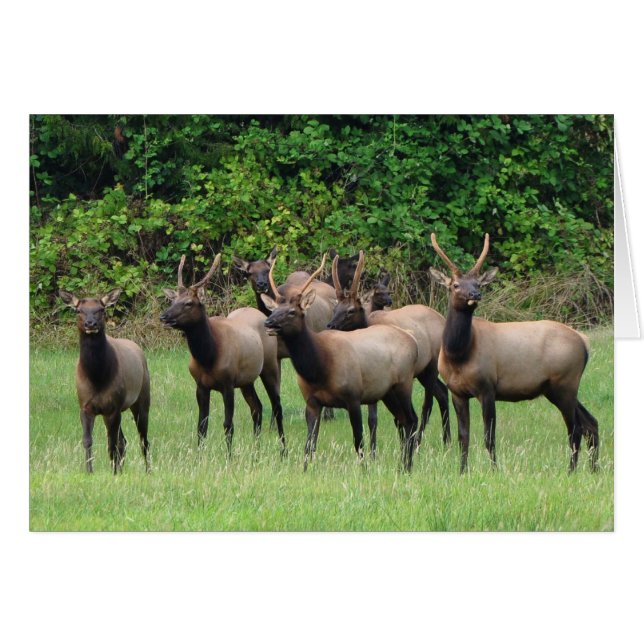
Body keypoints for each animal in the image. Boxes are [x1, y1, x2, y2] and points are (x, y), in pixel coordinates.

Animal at [59, 288, 150, 474]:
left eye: (100, 309)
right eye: (78, 310)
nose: (90, 323)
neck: (97, 377)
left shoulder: (113, 407)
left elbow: (111, 444)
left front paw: (113, 473)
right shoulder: (85, 406)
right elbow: (88, 440)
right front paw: (89, 471)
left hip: (142, 398)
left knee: (143, 439)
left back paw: (148, 470)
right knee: (124, 441)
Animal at [160, 253, 285, 454]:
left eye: (188, 303)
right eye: (172, 301)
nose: (164, 317)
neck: (208, 356)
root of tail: (263, 316)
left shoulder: (228, 383)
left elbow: (228, 425)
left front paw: (229, 456)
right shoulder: (201, 386)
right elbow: (201, 426)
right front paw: (200, 456)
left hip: (270, 366)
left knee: (277, 407)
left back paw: (283, 451)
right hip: (247, 381)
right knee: (257, 407)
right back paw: (256, 452)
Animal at [261, 253, 420, 471]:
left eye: (293, 312)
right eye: (274, 309)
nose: (268, 323)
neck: (319, 368)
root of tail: (412, 340)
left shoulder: (353, 397)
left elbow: (358, 441)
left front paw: (364, 470)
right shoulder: (312, 402)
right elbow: (309, 444)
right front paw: (305, 470)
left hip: (404, 384)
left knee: (412, 419)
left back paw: (407, 466)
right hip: (388, 392)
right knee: (404, 420)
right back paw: (402, 465)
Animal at [327, 253, 451, 454]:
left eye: (351, 310)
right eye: (335, 308)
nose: (330, 325)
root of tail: (441, 318)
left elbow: (379, 419)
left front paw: (378, 451)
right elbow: (377, 419)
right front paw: (376, 451)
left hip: (431, 366)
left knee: (428, 403)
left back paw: (420, 442)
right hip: (421, 372)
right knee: (443, 392)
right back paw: (447, 441)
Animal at [429, 232, 599, 473]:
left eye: (478, 282)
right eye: (454, 285)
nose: (475, 293)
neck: (458, 355)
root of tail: (584, 342)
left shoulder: (488, 387)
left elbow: (489, 437)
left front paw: (494, 470)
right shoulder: (457, 392)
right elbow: (464, 437)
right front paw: (462, 471)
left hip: (565, 382)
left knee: (574, 429)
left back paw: (571, 471)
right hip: (558, 388)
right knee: (590, 423)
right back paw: (593, 469)